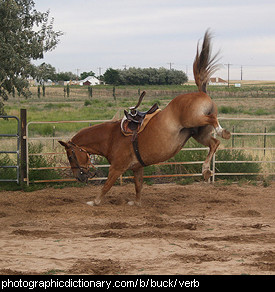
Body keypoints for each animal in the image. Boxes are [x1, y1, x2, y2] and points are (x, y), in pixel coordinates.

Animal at [59, 30, 232, 205]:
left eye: (70, 156)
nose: (78, 177)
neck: (110, 138)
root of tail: (200, 92)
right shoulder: (137, 167)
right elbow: (138, 185)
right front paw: (136, 203)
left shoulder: (117, 167)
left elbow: (106, 186)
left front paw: (94, 202)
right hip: (198, 133)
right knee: (214, 143)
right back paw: (206, 170)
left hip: (193, 120)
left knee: (213, 121)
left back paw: (222, 132)